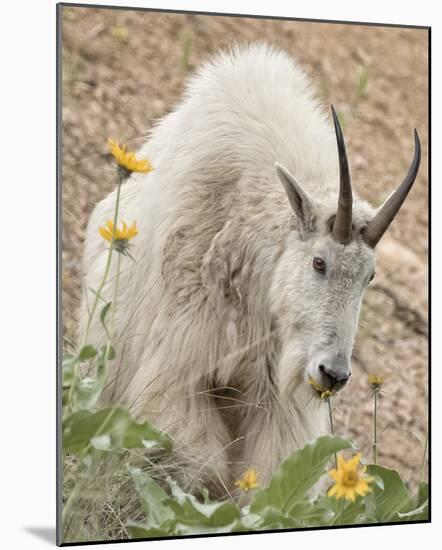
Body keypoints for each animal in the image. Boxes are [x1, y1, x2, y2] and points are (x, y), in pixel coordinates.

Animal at [79, 44, 422, 496]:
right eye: (319, 262)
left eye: (370, 277)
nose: (333, 374)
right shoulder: (182, 366)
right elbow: (197, 461)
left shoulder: (275, 399)